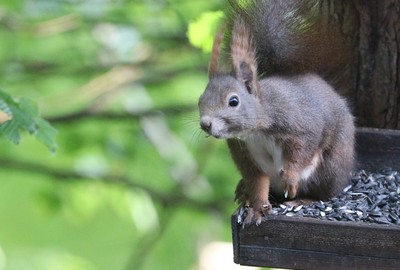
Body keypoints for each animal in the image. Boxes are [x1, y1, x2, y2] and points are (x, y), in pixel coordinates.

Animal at [198, 0, 354, 225]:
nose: (205, 124)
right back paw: (244, 192)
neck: (256, 131)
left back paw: (301, 200)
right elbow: (257, 181)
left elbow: (303, 151)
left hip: (330, 168)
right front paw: (258, 208)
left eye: (233, 101)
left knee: (323, 194)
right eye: (200, 100)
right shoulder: (243, 152)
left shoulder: (301, 125)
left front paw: (291, 176)